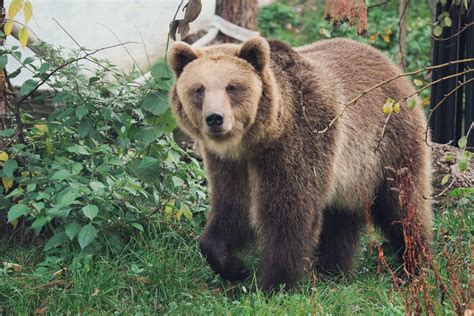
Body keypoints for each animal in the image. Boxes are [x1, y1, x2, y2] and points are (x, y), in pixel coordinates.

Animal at [168, 36, 434, 292]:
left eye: (232, 87)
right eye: (199, 89)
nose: (215, 119)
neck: (261, 139)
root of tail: (392, 66)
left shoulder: (300, 141)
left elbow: (288, 213)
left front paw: (272, 285)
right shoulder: (231, 164)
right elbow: (232, 209)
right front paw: (233, 266)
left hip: (389, 144)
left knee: (402, 206)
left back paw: (415, 266)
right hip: (351, 173)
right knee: (340, 220)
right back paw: (335, 273)